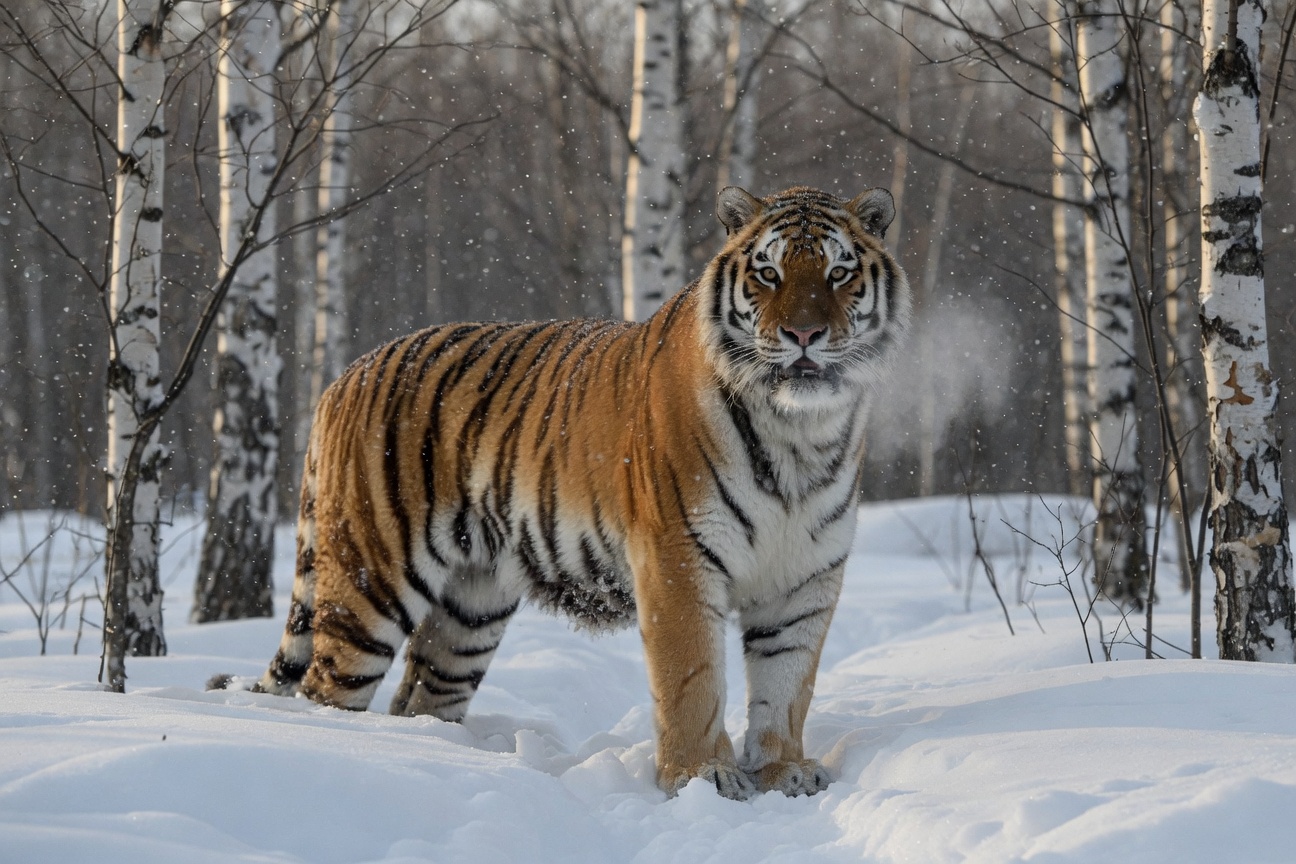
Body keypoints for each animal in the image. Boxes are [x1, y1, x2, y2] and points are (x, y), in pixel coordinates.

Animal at [216, 184, 911, 800]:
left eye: (839, 274)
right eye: (768, 274)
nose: (804, 336)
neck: (800, 432)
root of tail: (343, 376)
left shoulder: (804, 577)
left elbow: (788, 686)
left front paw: (781, 771)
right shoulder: (679, 562)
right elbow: (693, 681)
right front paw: (701, 778)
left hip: (471, 610)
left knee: (420, 693)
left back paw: (435, 756)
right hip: (370, 584)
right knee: (327, 690)